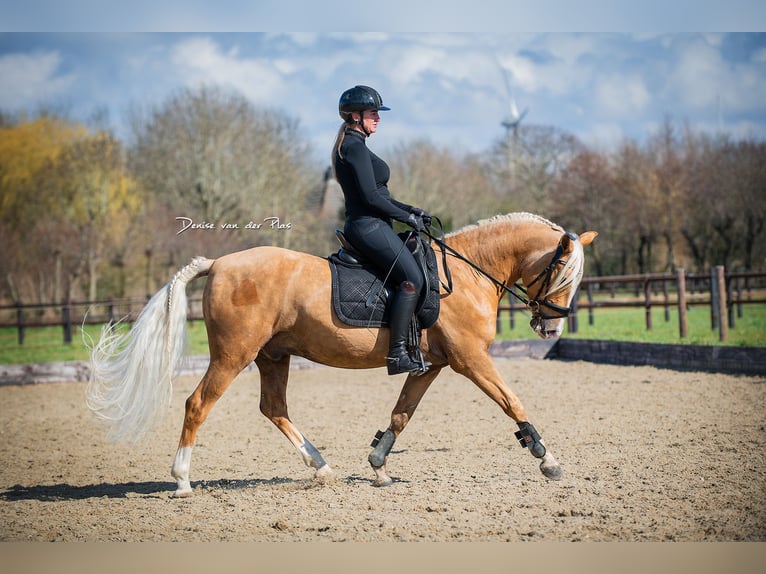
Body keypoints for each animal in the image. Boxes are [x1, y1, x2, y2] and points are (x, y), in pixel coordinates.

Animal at [85, 213, 600, 500]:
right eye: (561, 271)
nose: (552, 327)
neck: (467, 273)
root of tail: (220, 263)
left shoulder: (431, 365)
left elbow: (400, 415)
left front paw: (378, 467)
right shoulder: (471, 360)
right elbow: (512, 402)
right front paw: (547, 459)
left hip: (272, 357)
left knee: (273, 408)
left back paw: (322, 467)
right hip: (233, 356)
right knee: (197, 405)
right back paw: (182, 481)